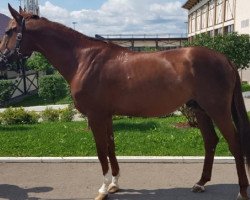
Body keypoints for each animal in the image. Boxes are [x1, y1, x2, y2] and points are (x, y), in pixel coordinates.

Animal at [0, 4, 250, 200]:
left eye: (10, 30)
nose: (3, 58)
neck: (84, 59)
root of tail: (224, 58)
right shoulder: (106, 115)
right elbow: (111, 147)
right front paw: (114, 184)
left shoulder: (96, 116)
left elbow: (101, 150)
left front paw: (102, 189)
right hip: (200, 110)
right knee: (211, 141)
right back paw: (200, 183)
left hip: (218, 110)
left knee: (235, 143)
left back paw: (242, 191)